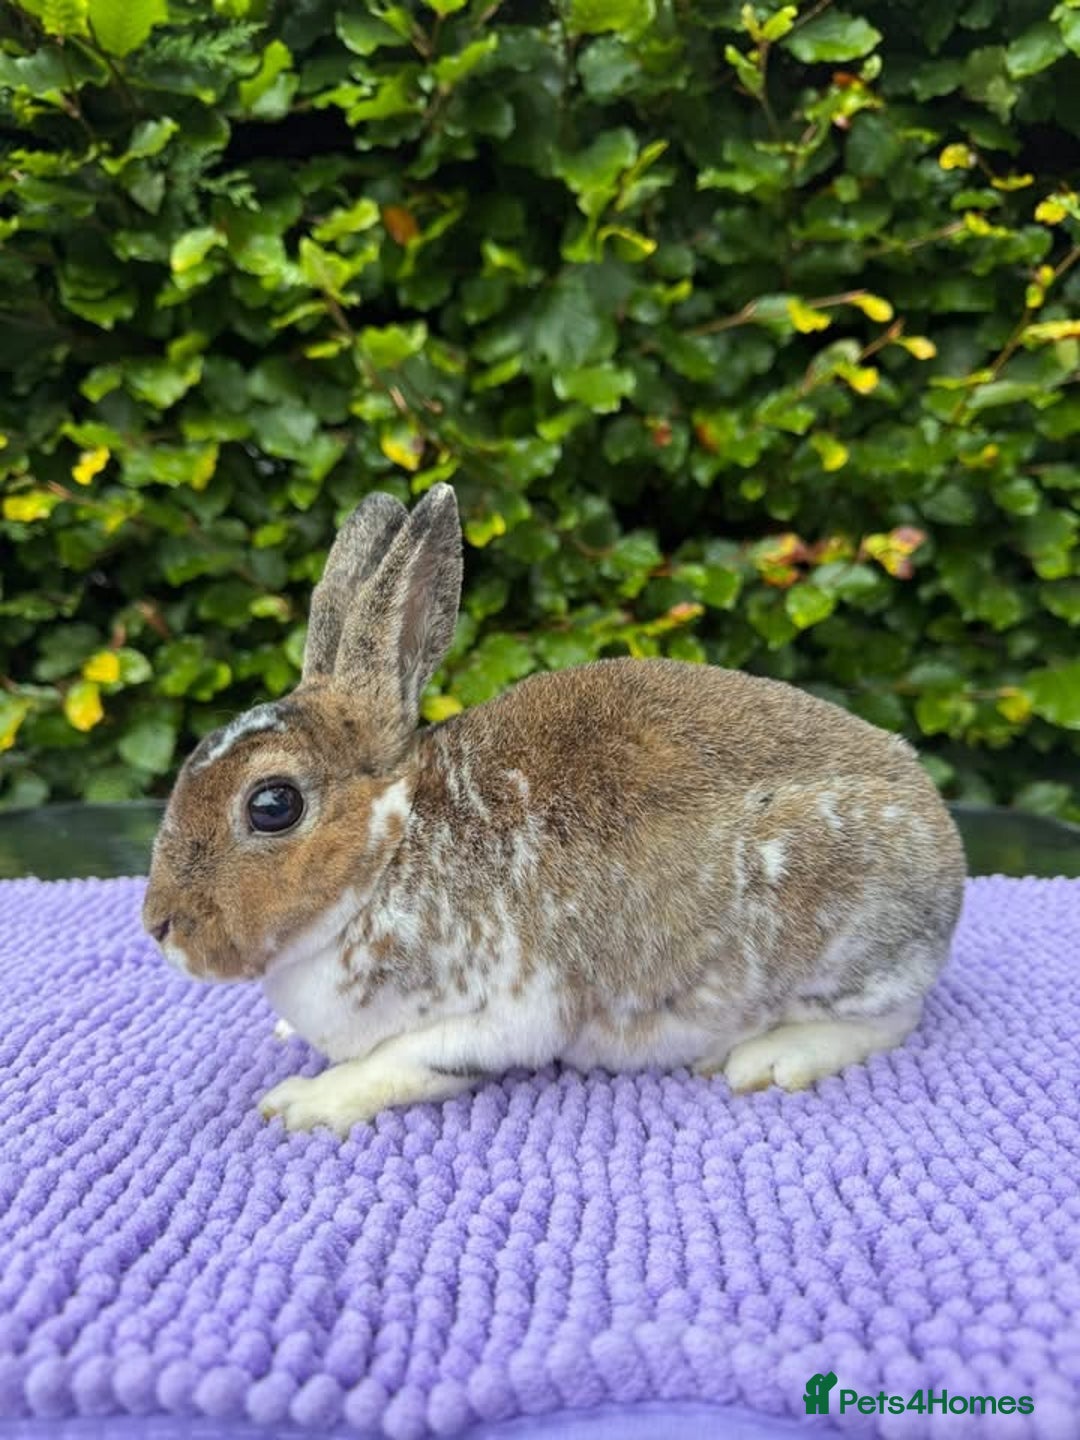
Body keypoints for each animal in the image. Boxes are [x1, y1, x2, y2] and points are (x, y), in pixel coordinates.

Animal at [143, 484, 967, 1134]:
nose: (160, 927)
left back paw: (770, 1058)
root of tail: (947, 851)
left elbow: (397, 1064)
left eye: (272, 804)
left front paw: (304, 1101)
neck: (390, 847)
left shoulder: (503, 1016)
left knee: (891, 1018)